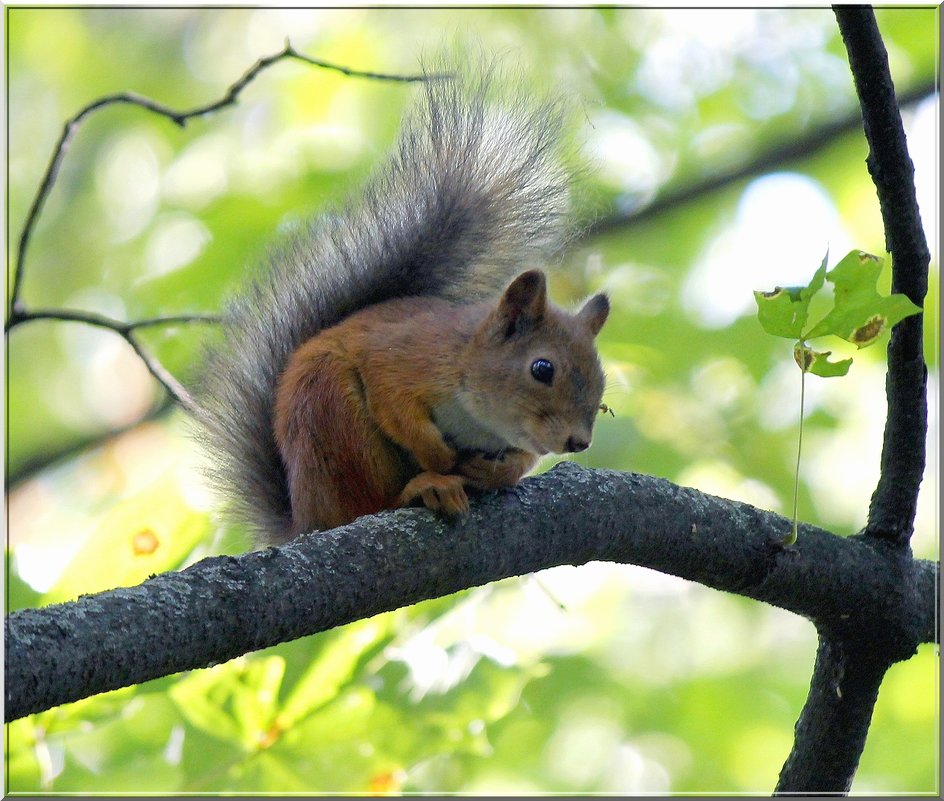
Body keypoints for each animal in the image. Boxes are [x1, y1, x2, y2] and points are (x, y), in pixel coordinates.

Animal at [194, 59, 612, 540]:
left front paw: (497, 471)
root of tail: (305, 519)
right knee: (366, 505)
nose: (578, 442)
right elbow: (396, 408)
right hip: (333, 418)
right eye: (542, 369)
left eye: (601, 383)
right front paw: (439, 457)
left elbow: (522, 459)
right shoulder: (399, 358)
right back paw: (424, 486)